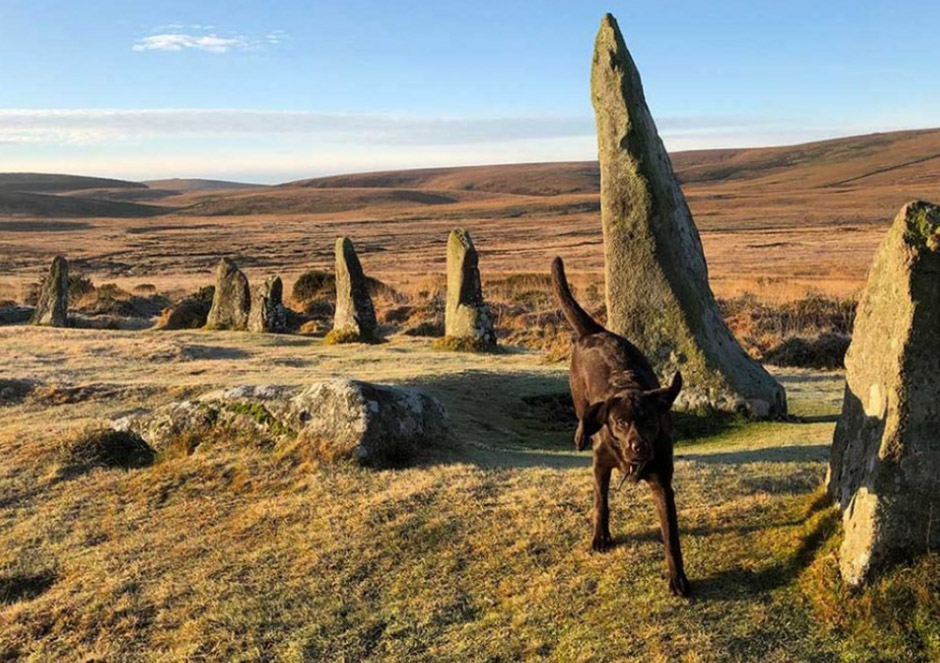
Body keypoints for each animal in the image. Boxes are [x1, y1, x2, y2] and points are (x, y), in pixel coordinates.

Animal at [552, 256, 692, 600]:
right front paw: (601, 537)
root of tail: (597, 331)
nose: (638, 446)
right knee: (582, 417)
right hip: (578, 397)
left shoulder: (662, 483)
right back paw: (579, 435)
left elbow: (671, 536)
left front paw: (678, 577)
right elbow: (601, 503)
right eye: (621, 422)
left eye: (649, 421)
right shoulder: (601, 464)